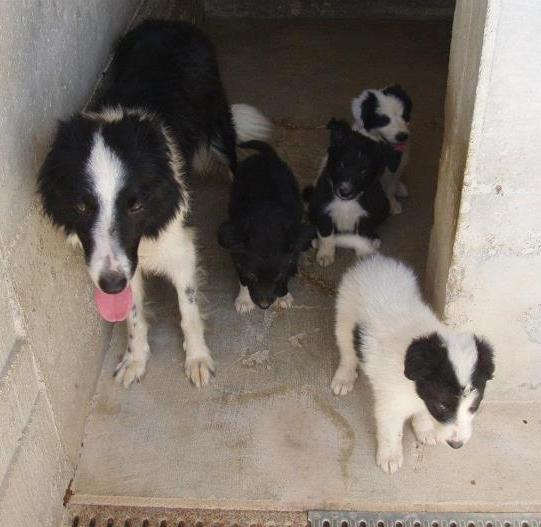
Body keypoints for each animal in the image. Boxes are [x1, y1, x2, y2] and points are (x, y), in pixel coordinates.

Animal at [38, 19, 270, 388]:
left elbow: (188, 310)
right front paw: (136, 358)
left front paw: (197, 358)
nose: (110, 284)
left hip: (220, 129)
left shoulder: (179, 247)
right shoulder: (123, 263)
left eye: (134, 205)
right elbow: (132, 314)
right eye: (82, 207)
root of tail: (169, 23)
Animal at [218, 141, 314, 314]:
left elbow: (288, 267)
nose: (264, 306)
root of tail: (265, 156)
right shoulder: (237, 252)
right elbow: (242, 276)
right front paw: (244, 299)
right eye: (252, 276)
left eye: (278, 277)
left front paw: (283, 296)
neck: (267, 220)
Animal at [306, 119, 390, 268]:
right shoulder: (322, 208)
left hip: (384, 206)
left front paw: (364, 253)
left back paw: (374, 239)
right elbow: (327, 234)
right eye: (341, 164)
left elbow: (363, 234)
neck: (346, 202)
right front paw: (325, 254)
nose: (345, 192)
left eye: (364, 171)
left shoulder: (368, 213)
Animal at [330, 255, 494, 474]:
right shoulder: (390, 405)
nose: (456, 445)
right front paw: (390, 457)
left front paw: (425, 430)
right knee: (347, 352)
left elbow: (423, 414)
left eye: (474, 406)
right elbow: (392, 433)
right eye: (443, 406)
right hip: (345, 317)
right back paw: (344, 377)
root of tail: (374, 259)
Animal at [352, 84, 412, 214]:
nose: (402, 136)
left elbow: (391, 187)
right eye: (384, 120)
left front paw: (392, 203)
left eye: (404, 116)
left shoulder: (395, 169)